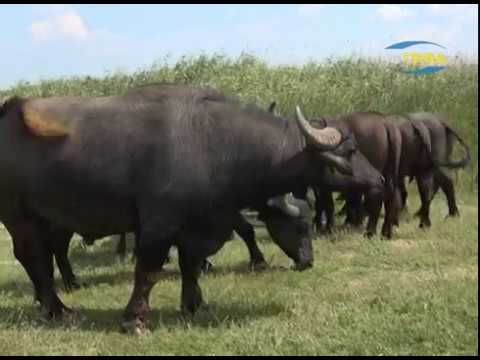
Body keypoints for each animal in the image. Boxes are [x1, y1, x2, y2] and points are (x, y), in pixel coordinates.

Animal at [0, 84, 382, 334]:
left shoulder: (197, 225)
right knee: (33, 256)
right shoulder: (158, 226)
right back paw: (58, 309)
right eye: (350, 151)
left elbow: (191, 265)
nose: (378, 178)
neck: (218, 146)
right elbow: (148, 271)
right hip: (19, 216)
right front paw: (134, 319)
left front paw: (194, 304)